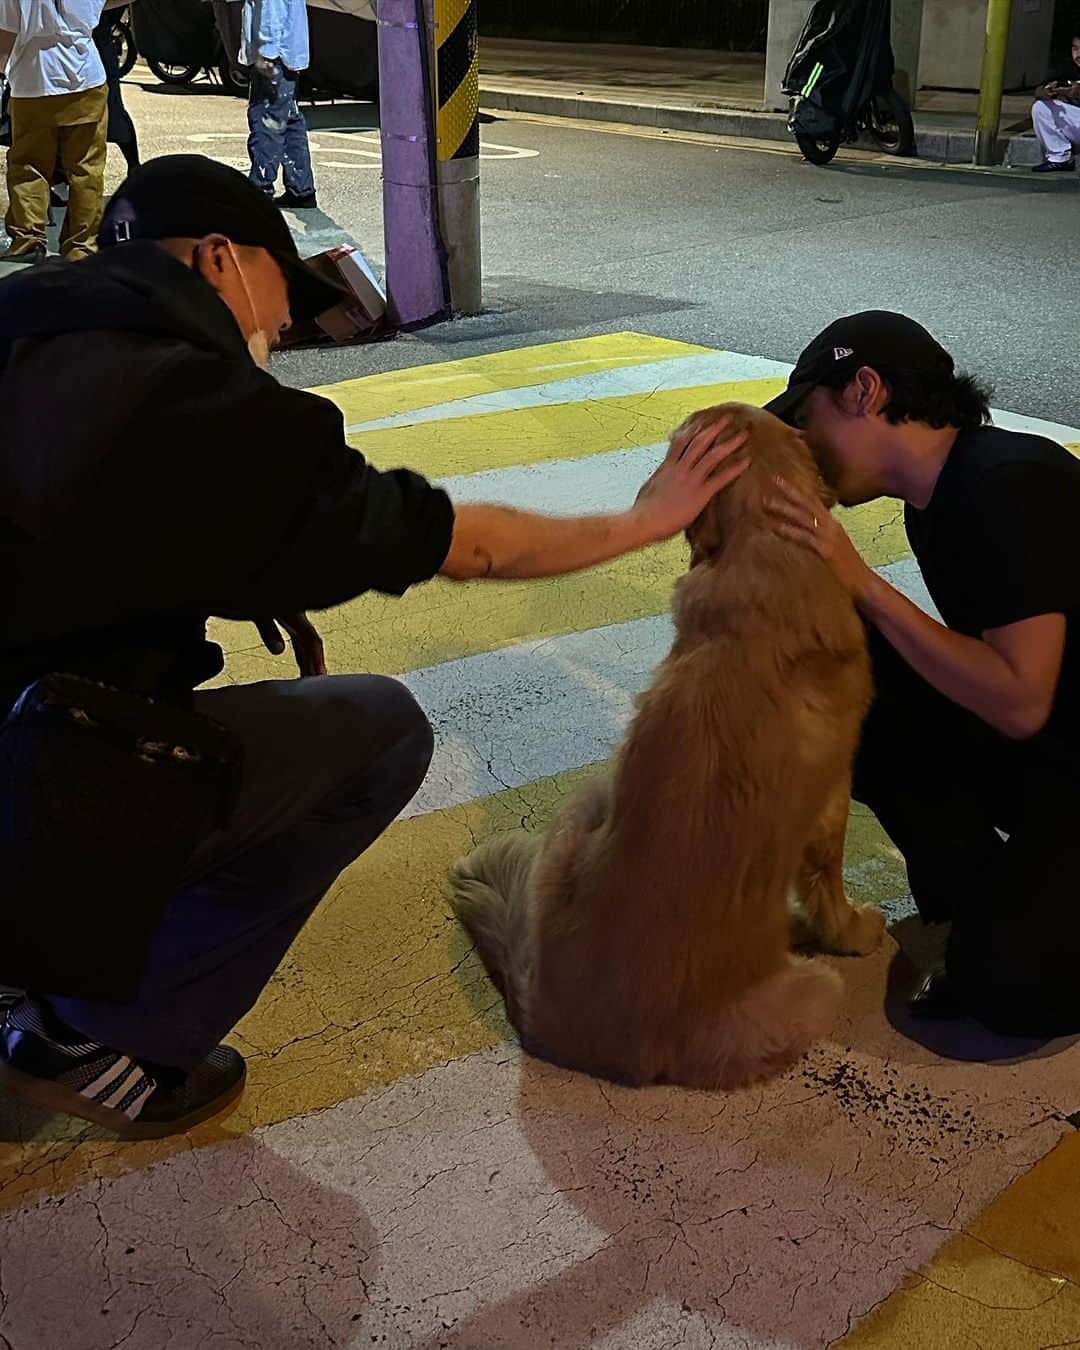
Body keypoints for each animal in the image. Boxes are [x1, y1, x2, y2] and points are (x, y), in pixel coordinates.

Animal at [450, 405, 880, 1090]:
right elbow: (829, 879)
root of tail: (542, 1022)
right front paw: (855, 927)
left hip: (583, 807)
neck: (767, 546)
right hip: (812, 993)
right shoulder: (835, 790)